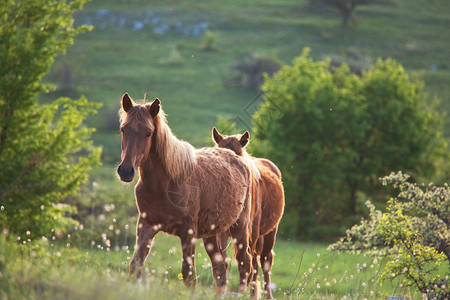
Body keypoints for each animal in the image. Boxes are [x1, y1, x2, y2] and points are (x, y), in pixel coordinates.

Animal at [117, 92, 253, 292]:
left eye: (148, 132)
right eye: (123, 129)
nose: (126, 171)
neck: (164, 185)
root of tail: (238, 159)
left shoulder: (188, 232)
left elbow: (189, 275)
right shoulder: (146, 226)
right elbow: (135, 267)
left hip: (239, 228)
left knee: (245, 264)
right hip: (212, 234)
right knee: (220, 269)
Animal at [214, 127, 284, 298]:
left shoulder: (251, 232)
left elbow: (249, 262)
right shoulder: (223, 231)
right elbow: (223, 259)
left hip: (269, 233)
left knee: (264, 261)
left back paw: (266, 294)